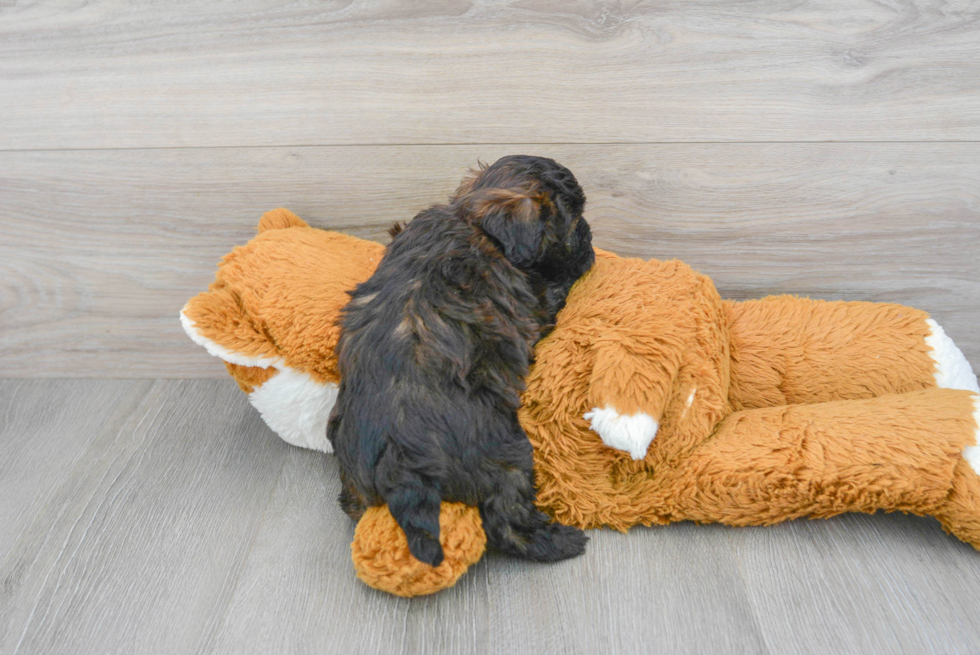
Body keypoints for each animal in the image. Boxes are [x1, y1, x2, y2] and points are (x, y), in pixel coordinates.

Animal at [330, 156, 592, 568]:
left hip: (355, 477)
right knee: (507, 523)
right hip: (507, 455)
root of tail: (401, 462)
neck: (472, 218)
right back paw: (561, 541)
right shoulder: (537, 306)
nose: (590, 236)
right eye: (573, 219)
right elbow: (554, 292)